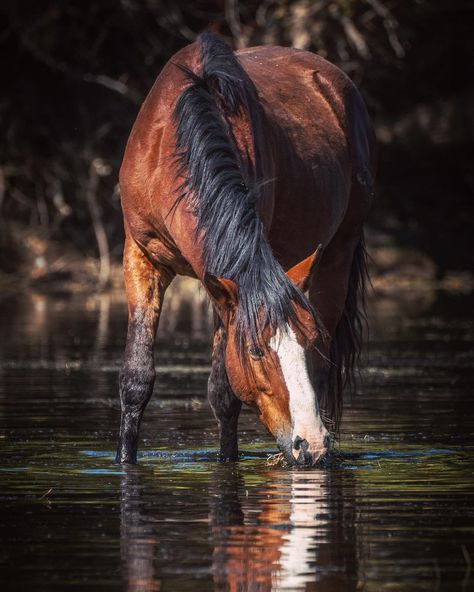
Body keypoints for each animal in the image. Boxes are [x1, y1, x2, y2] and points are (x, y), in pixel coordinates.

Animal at [115, 31, 374, 468]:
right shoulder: (141, 255)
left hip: (337, 257)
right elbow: (136, 380)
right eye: (254, 351)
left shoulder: (223, 283)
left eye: (309, 342)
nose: (311, 444)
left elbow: (223, 395)